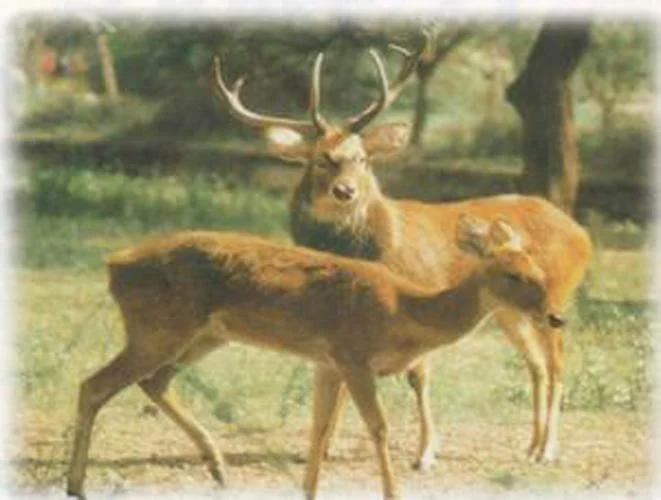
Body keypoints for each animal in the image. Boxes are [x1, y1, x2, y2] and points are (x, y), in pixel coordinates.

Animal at [66, 215, 567, 500]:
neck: (403, 309)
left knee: (153, 382)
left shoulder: (326, 363)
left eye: (538, 269)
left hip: (202, 335)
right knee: (93, 385)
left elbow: (319, 428)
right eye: (511, 273)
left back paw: (217, 466)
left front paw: (308, 490)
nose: (556, 316)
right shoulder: (353, 355)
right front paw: (394, 492)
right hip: (158, 329)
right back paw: (76, 484)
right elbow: (378, 428)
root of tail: (114, 265)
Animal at [210, 41, 593, 471]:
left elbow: (418, 376)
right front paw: (325, 446)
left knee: (557, 363)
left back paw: (548, 450)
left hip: (555, 294)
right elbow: (340, 375)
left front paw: (425, 453)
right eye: (320, 158)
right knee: (537, 365)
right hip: (511, 311)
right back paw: (530, 446)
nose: (346, 191)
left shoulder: (420, 294)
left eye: (361, 157)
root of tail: (581, 233)